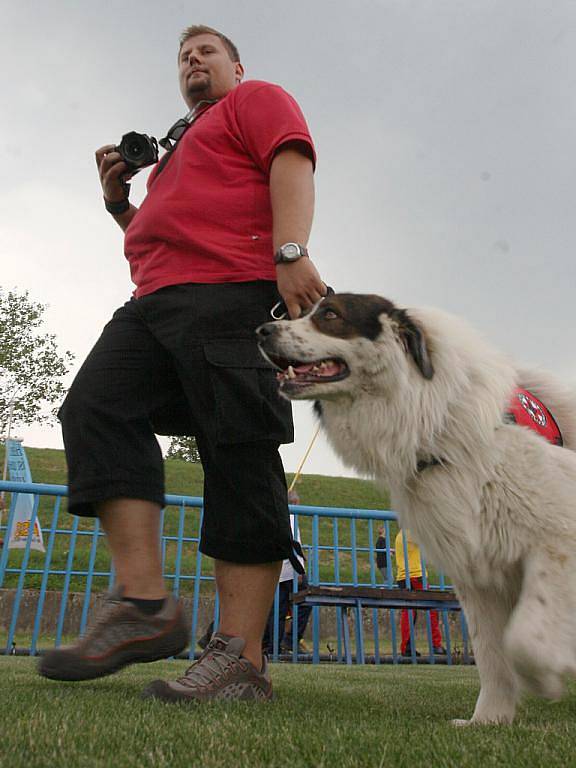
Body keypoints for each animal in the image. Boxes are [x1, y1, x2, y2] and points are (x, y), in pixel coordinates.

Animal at [258, 292, 576, 728]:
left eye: (331, 315)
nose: (262, 330)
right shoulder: (478, 572)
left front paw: (545, 678)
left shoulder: (555, 542)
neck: (441, 424)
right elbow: (492, 652)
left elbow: (525, 638)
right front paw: (487, 720)